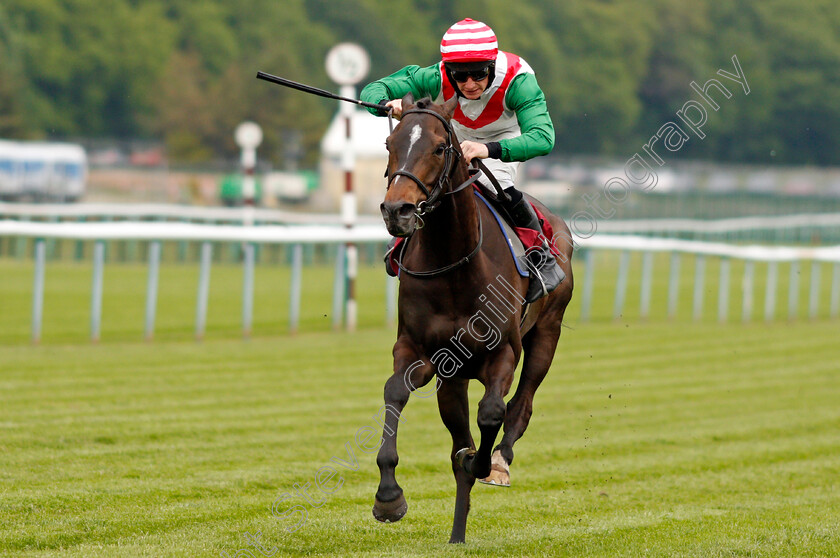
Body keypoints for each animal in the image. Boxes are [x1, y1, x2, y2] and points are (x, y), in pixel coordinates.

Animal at [372, 94, 572, 544]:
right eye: (390, 143)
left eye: (438, 148)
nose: (397, 210)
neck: (454, 264)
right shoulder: (420, 351)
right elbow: (395, 392)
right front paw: (389, 497)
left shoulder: (503, 351)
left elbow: (492, 413)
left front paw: (483, 462)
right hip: (454, 376)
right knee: (459, 435)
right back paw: (457, 533)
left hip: (547, 333)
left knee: (522, 404)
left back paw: (498, 460)